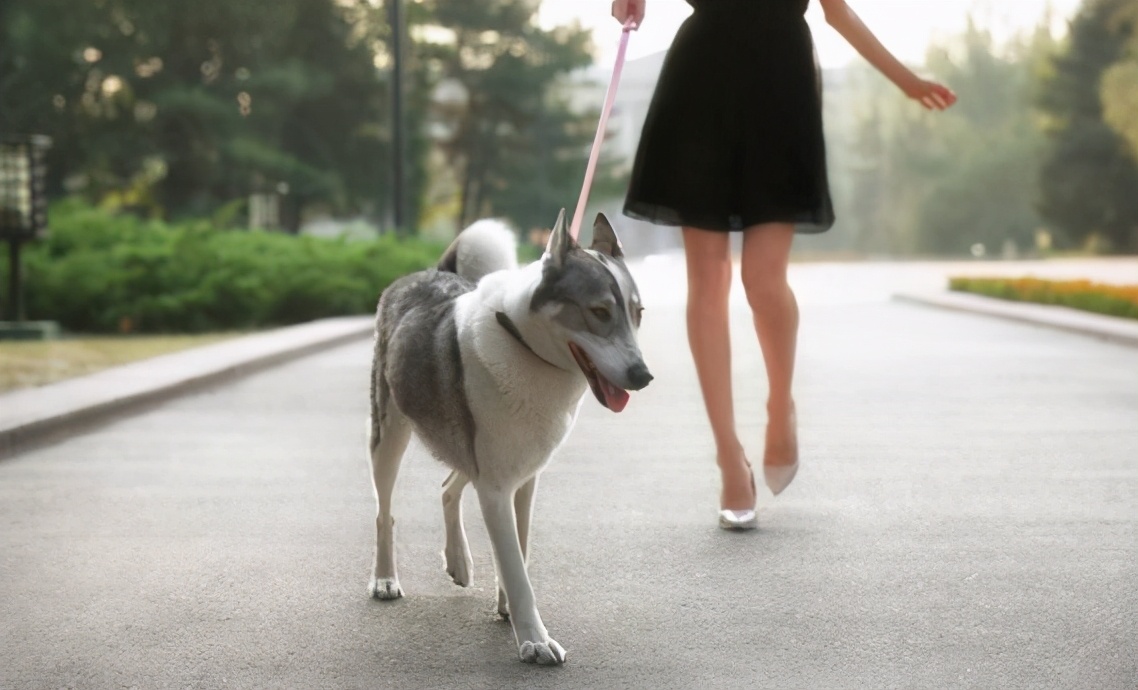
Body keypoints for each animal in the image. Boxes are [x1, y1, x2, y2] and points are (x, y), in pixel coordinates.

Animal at [368, 209, 655, 664]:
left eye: (638, 312)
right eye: (598, 311)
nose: (642, 376)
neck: (523, 344)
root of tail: (428, 272)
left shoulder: (521, 479)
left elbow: (518, 550)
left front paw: (509, 608)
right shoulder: (497, 486)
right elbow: (517, 568)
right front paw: (535, 639)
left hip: (467, 448)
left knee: (448, 487)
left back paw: (459, 561)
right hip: (389, 436)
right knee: (385, 511)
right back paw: (384, 579)